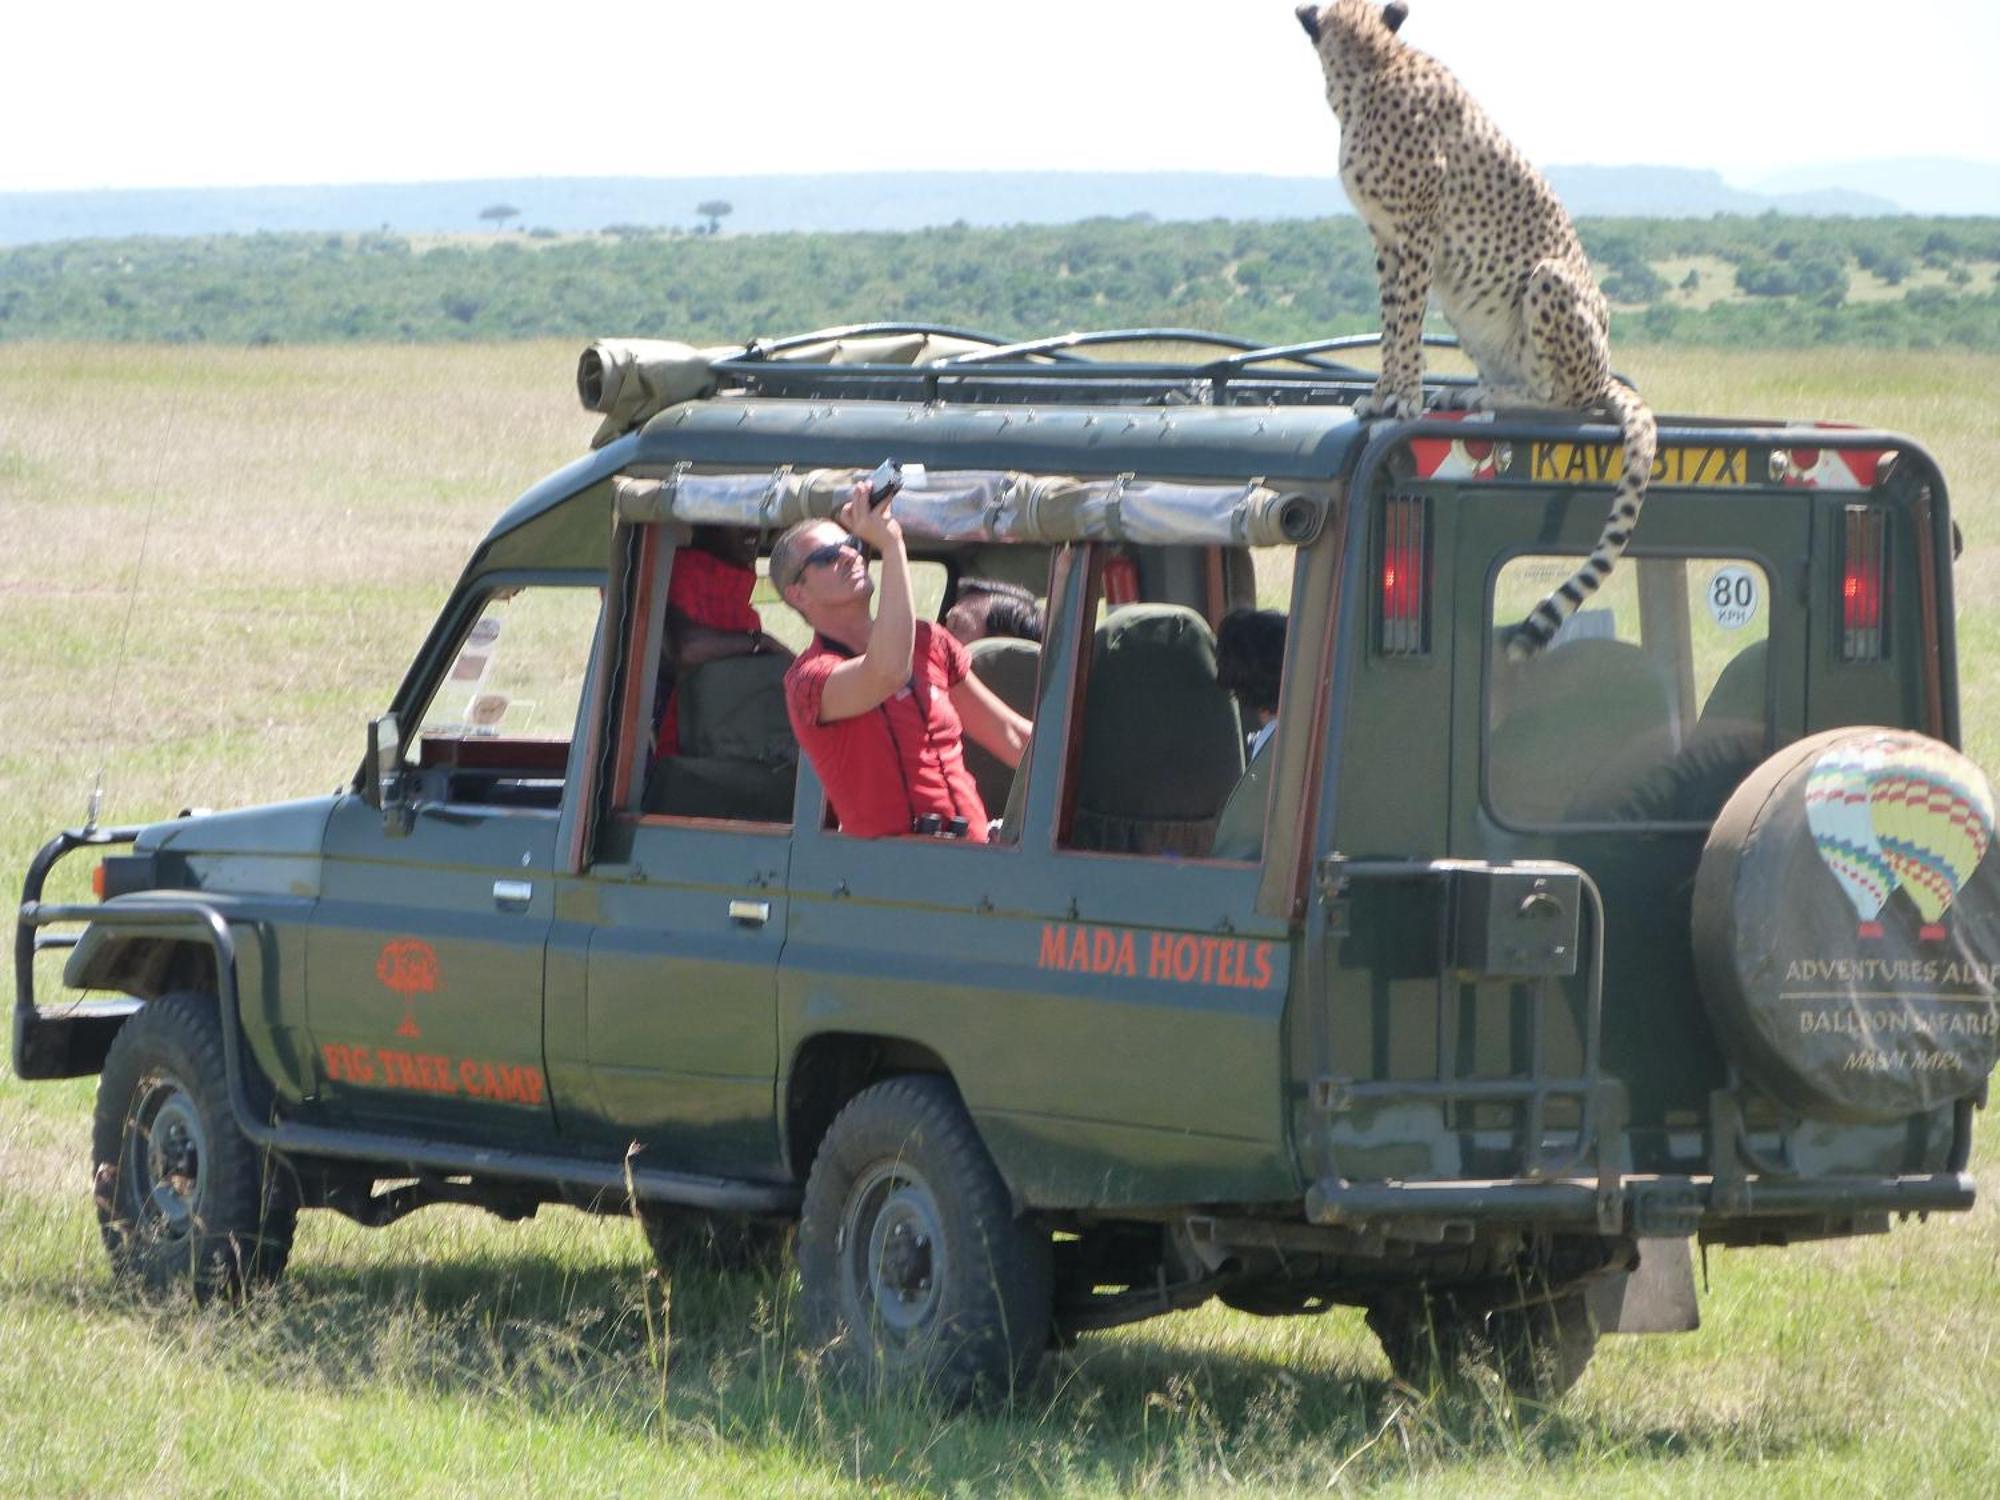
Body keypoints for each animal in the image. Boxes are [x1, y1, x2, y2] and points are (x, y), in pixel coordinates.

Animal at [1296, 0, 1656, 656]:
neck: (1372, 62)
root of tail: (1607, 371)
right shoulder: (1386, 237)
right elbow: (1391, 319)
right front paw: (1383, 394)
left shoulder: (1415, 230)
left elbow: (1404, 322)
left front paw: (1402, 400)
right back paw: (1467, 390)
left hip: (1548, 282)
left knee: (1564, 396)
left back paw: (1486, 396)